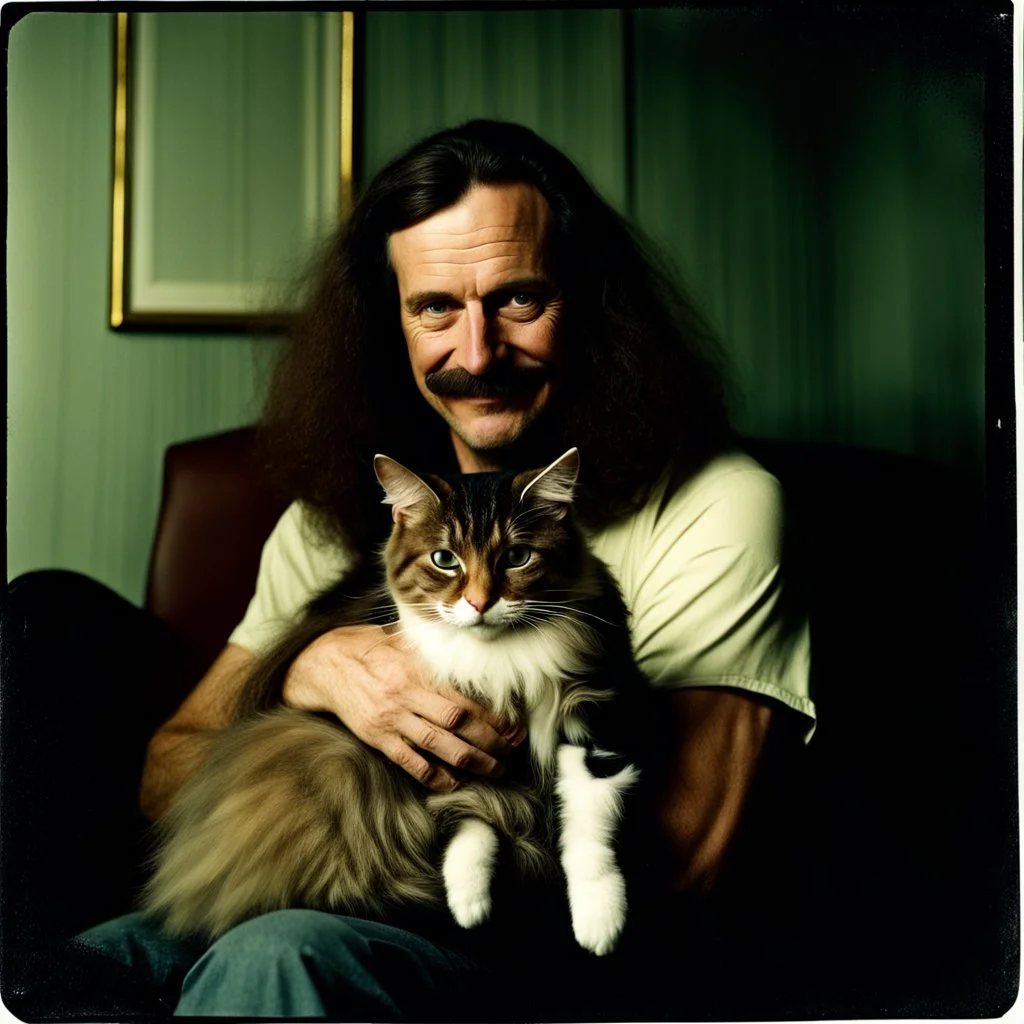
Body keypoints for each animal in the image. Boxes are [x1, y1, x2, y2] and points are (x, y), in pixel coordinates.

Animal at [142, 452, 655, 954]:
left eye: (517, 557)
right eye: (445, 560)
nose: (480, 603)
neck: (500, 661)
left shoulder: (599, 716)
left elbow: (590, 832)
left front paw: (599, 922)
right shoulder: (440, 752)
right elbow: (470, 813)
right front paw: (468, 900)